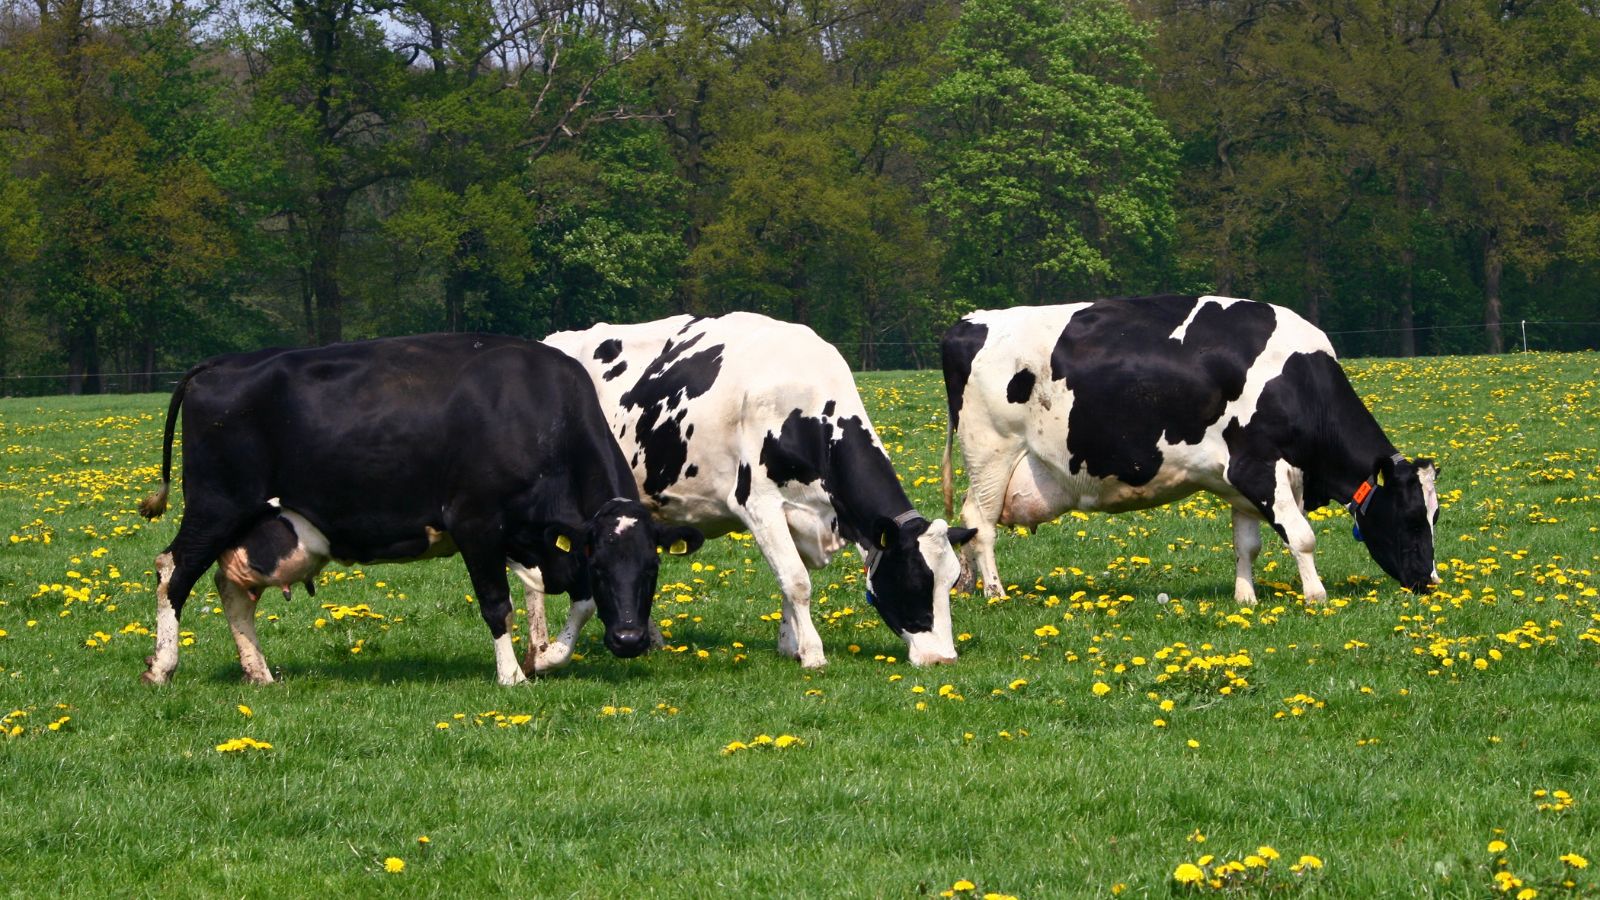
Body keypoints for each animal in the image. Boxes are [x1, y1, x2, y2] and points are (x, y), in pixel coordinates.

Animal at [137, 334, 704, 686]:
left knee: (232, 588)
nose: (629, 639)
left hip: (256, 523)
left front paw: (547, 658)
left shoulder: (540, 535)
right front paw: (513, 675)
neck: (540, 414)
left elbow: (577, 600)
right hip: (216, 505)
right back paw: (162, 666)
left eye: (651, 569)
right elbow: (498, 603)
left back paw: (259, 672)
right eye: (605, 566)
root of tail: (218, 364)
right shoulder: (476, 523)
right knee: (173, 572)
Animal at [532, 312, 976, 670]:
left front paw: (790, 645)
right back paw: (540, 647)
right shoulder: (758, 503)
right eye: (914, 580)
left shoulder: (800, 513)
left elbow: (787, 580)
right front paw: (813, 654)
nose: (943, 658)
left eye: (952, 582)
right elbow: (797, 580)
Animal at [940, 295, 1441, 605]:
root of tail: (968, 322)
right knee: (981, 523)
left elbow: (1247, 544)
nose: (1429, 581)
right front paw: (1316, 596)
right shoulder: (1259, 467)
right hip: (991, 452)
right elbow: (1302, 536)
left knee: (969, 521)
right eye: (1414, 517)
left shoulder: (1240, 480)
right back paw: (995, 592)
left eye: (1436, 515)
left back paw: (966, 585)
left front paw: (1245, 597)